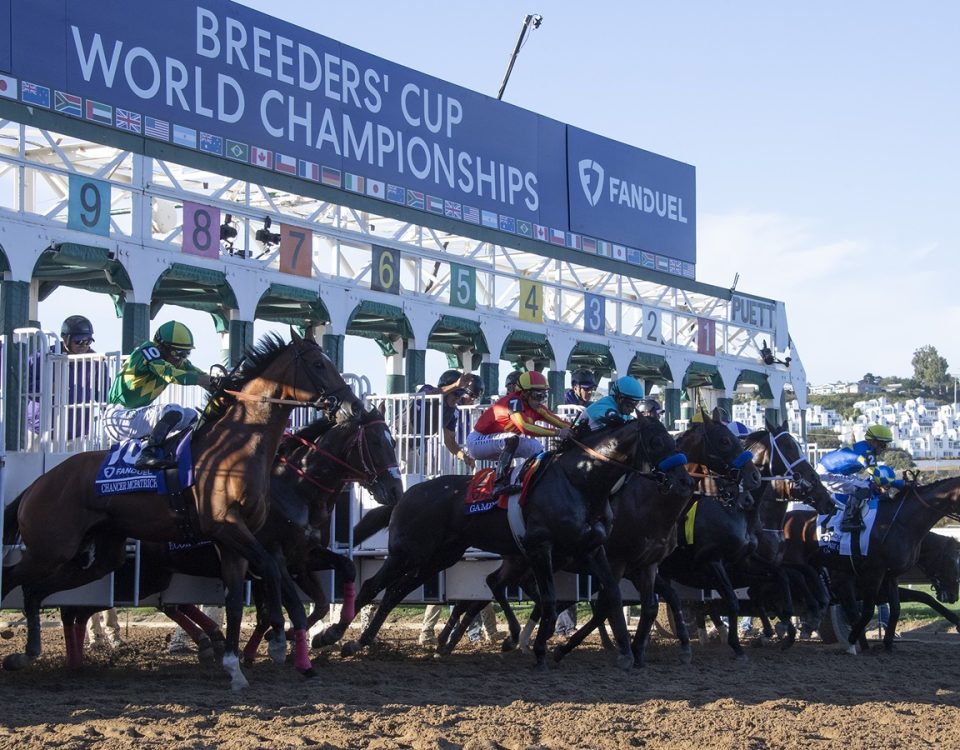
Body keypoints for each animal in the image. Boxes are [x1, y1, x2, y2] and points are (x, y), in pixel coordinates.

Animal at [3, 332, 356, 692]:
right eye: (318, 364)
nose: (351, 406)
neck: (237, 447)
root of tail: (36, 485)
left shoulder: (233, 540)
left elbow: (234, 600)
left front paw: (235, 666)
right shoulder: (228, 527)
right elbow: (271, 570)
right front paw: (277, 642)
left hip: (98, 556)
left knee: (35, 591)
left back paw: (27, 654)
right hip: (51, 548)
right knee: (14, 580)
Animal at [326, 418, 692, 668]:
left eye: (674, 440)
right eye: (657, 441)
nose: (685, 480)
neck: (580, 482)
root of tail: (405, 494)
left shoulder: (594, 550)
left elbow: (612, 597)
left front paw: (627, 654)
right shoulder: (542, 548)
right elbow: (549, 600)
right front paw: (542, 649)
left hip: (437, 558)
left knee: (397, 592)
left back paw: (361, 641)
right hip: (408, 551)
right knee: (373, 585)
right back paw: (331, 637)